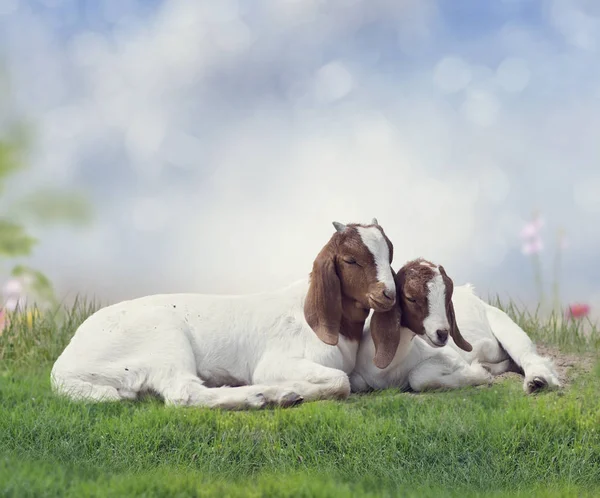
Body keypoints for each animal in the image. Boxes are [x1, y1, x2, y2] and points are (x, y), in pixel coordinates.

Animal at [51, 218, 398, 408]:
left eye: (390, 253)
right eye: (350, 259)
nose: (388, 294)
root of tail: (64, 369)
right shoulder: (276, 362)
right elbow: (341, 382)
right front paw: (293, 391)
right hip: (164, 338)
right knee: (183, 393)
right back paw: (264, 396)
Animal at [350, 258, 560, 394]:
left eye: (446, 297)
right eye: (411, 298)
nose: (443, 333)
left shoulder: (450, 357)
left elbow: (418, 377)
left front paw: (480, 374)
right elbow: (357, 383)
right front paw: (484, 370)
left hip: (506, 327)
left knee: (529, 357)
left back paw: (537, 381)